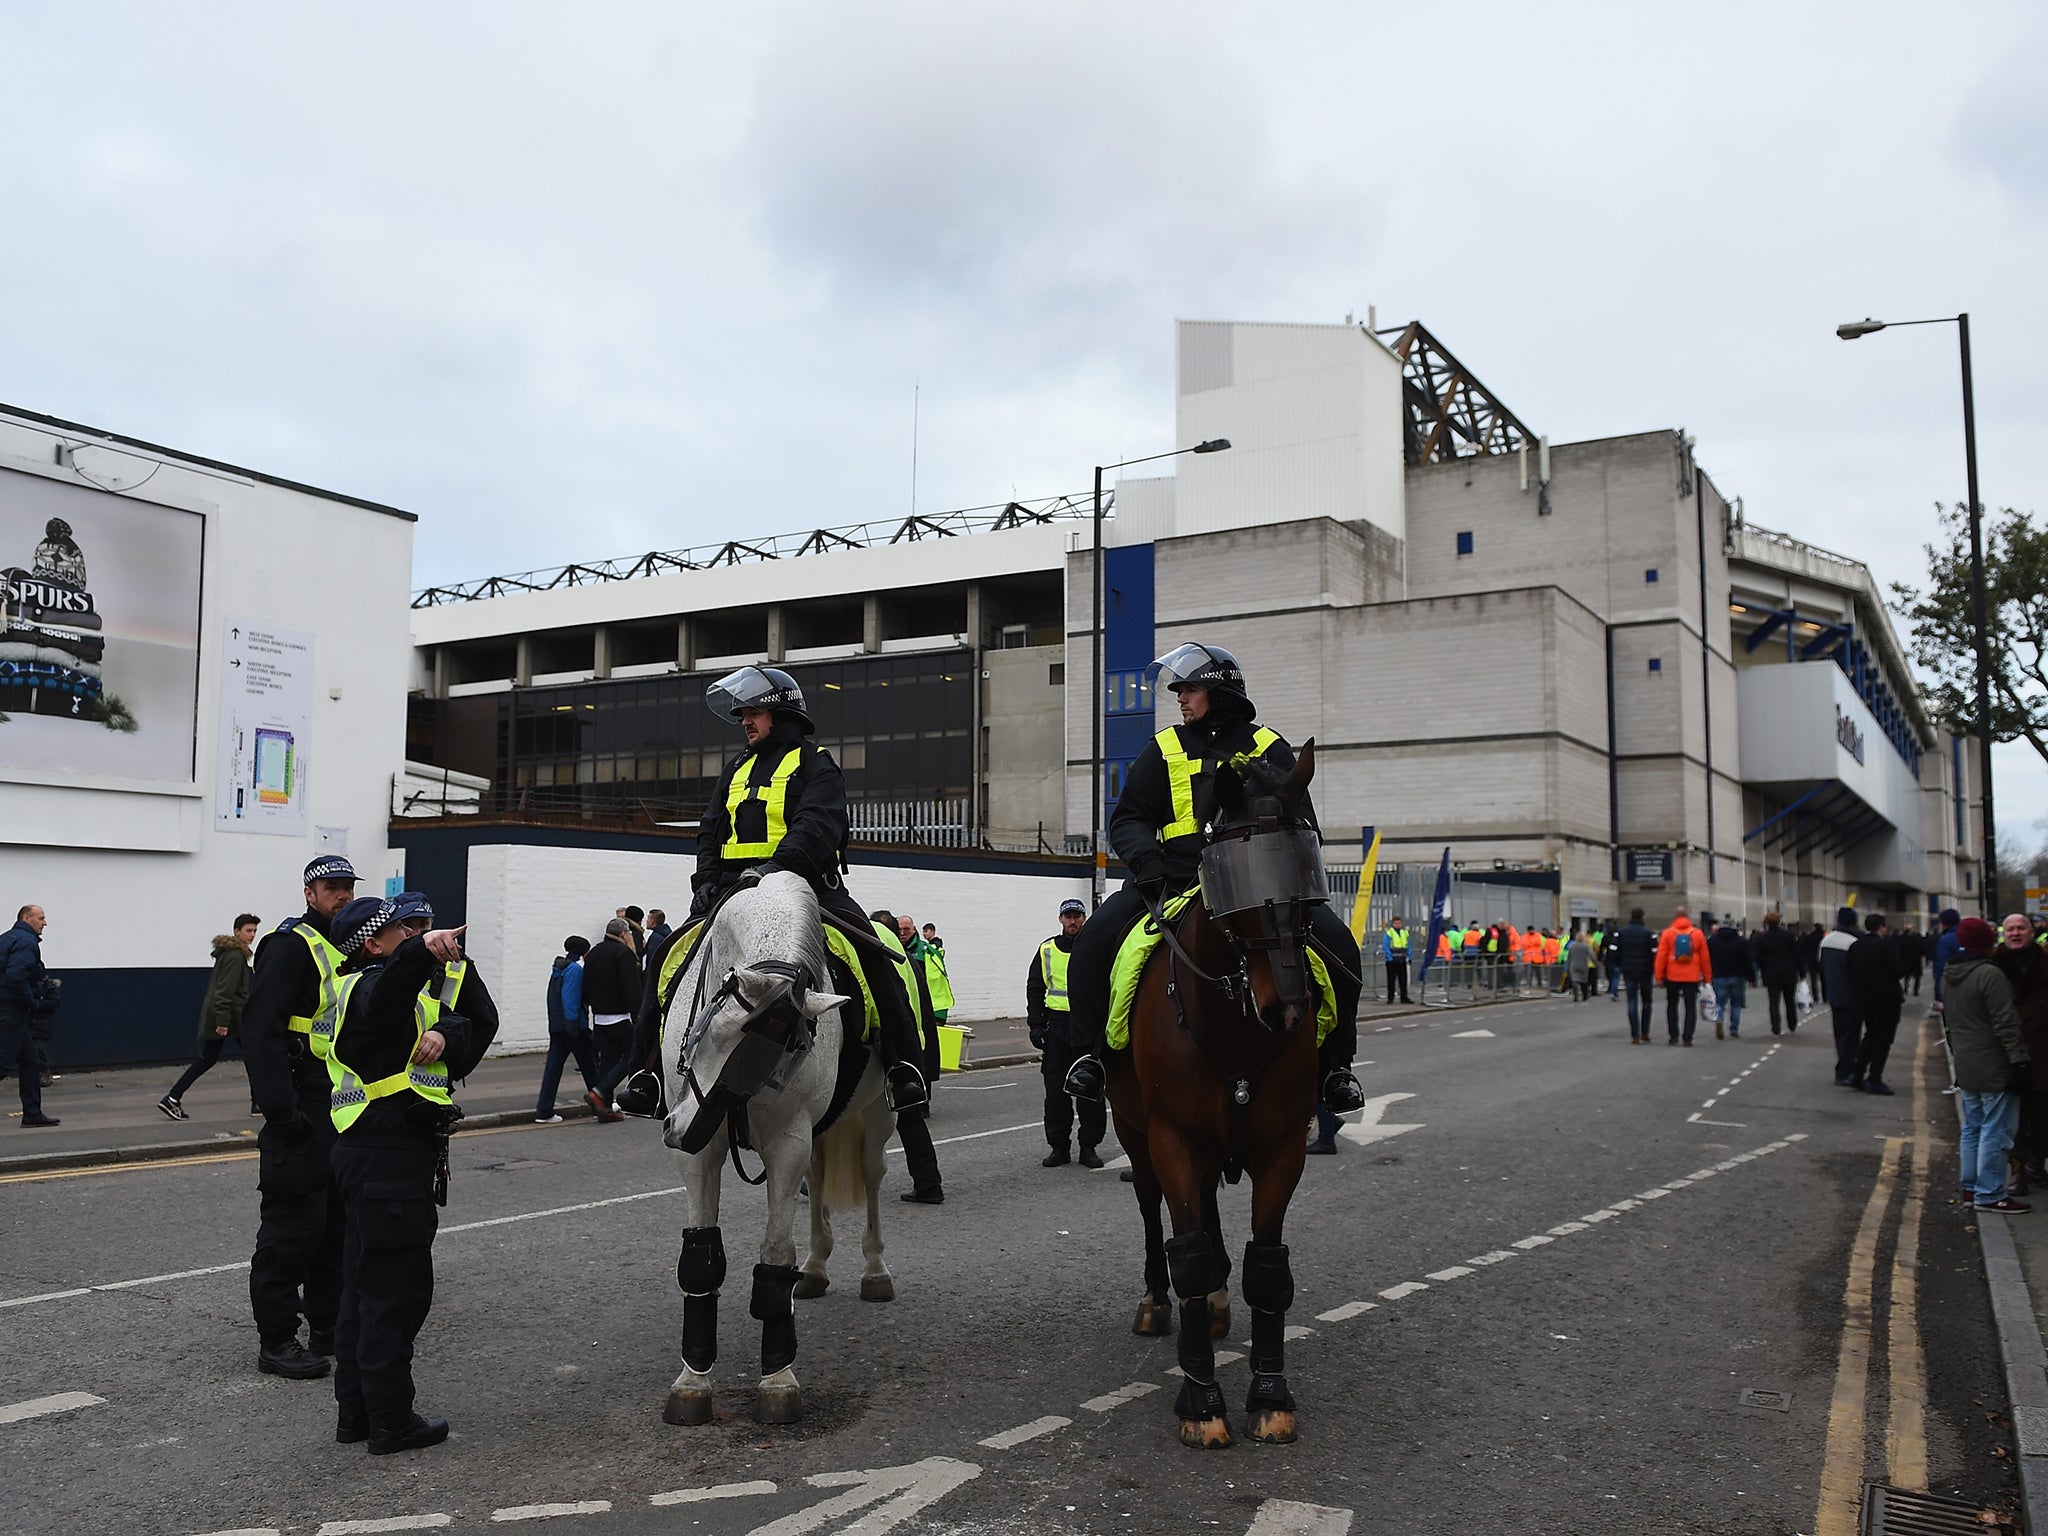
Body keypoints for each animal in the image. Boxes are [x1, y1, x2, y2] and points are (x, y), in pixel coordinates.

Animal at [659, 872, 901, 1425]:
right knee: (818, 1180)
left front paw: (777, 1377)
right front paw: (692, 1380)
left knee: (872, 1177)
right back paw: (814, 1270)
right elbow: (699, 1258)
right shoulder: (699, 1154)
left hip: (878, 1115)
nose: (680, 1129)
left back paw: (874, 1270)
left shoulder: (788, 1138)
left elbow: (774, 1252)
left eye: (788, 1051)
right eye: (714, 1031)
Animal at [1105, 741, 1327, 1449]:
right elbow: (1192, 1260)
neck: (1231, 1026)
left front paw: (1270, 1394)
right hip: (1134, 1132)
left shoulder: (1283, 1148)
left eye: (1303, 875)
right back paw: (1157, 1302)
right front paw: (1201, 1400)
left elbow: (1267, 1267)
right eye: (1238, 886)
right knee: (1155, 1216)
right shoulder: (1171, 1138)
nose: (1286, 1007)